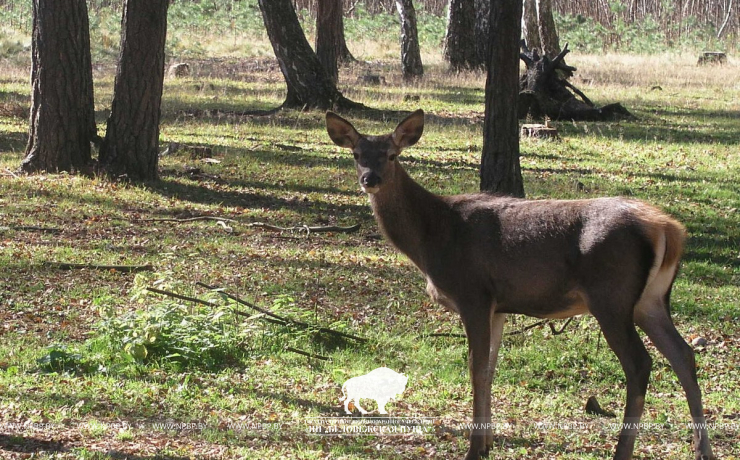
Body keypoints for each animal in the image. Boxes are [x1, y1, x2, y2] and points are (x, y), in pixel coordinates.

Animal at [326, 110, 712, 460]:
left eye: (392, 154)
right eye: (357, 154)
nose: (371, 178)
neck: (432, 240)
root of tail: (668, 228)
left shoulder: (473, 293)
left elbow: (476, 368)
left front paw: (473, 449)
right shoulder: (498, 305)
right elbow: (491, 368)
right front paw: (487, 442)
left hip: (611, 296)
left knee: (640, 363)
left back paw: (623, 451)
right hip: (651, 300)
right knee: (683, 354)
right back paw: (702, 450)